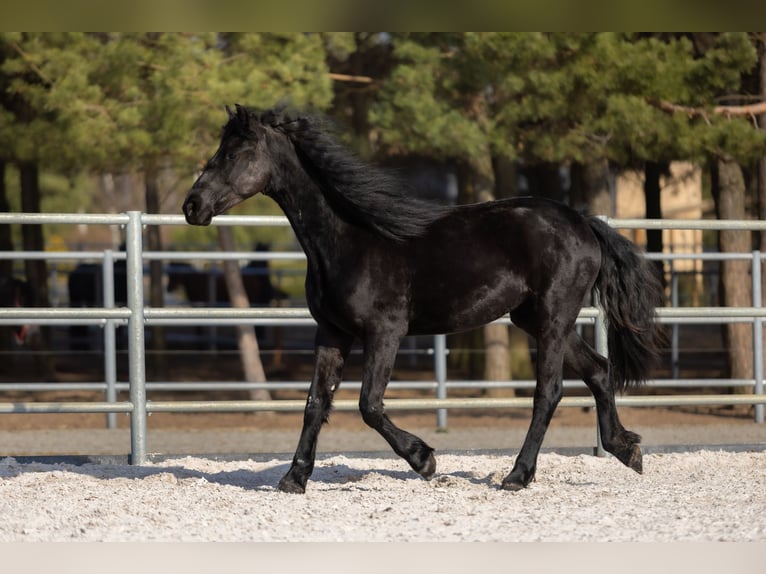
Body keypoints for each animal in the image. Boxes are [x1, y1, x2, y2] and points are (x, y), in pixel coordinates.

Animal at [182, 104, 664, 494]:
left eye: (236, 153)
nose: (192, 206)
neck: (350, 239)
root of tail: (584, 223)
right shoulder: (332, 333)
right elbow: (315, 404)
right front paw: (293, 479)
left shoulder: (385, 332)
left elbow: (369, 405)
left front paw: (425, 460)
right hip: (535, 320)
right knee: (599, 371)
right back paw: (627, 449)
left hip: (552, 318)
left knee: (549, 391)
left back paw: (517, 476)